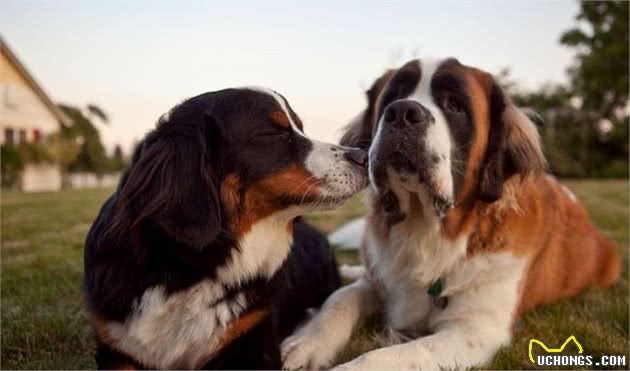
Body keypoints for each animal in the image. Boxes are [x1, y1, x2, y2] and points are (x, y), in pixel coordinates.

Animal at [84, 86, 370, 370]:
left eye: (299, 127)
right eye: (274, 133)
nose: (363, 156)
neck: (189, 268)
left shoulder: (252, 343)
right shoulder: (116, 347)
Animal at [282, 56, 624, 370]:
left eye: (455, 105)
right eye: (392, 97)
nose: (402, 112)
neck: (425, 231)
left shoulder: (474, 329)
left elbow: (391, 355)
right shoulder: (379, 282)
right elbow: (340, 299)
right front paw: (305, 342)